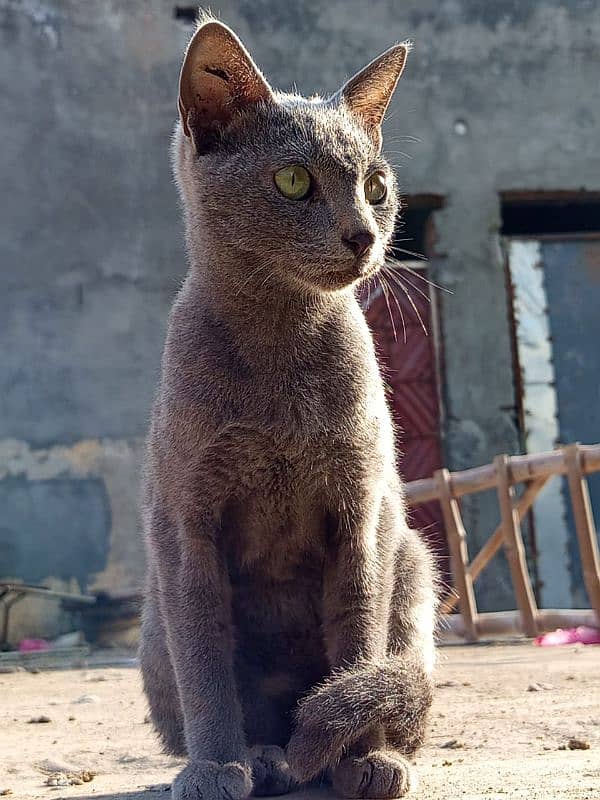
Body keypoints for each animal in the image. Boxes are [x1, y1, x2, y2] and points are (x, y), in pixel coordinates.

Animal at [143, 14, 438, 800]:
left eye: (376, 185)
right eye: (294, 180)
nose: (364, 234)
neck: (280, 346)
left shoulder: (361, 513)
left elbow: (358, 637)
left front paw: (356, 758)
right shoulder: (186, 522)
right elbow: (207, 661)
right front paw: (217, 766)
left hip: (413, 560)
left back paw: (361, 752)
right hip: (152, 625)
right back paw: (267, 756)